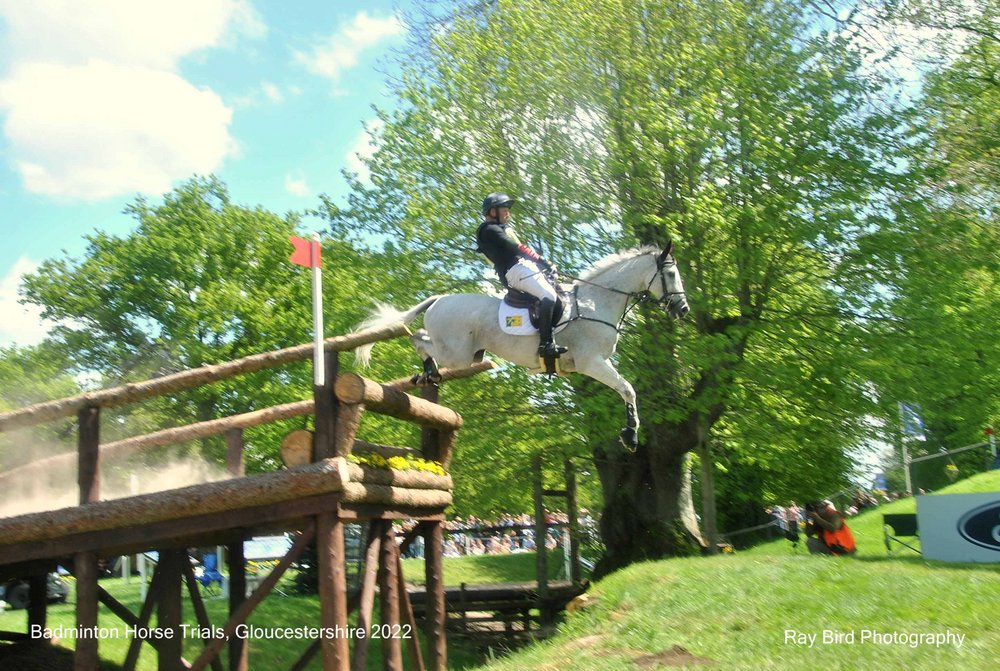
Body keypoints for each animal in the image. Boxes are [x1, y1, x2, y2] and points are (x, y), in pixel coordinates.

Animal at [352, 244, 688, 448]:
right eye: (671, 274)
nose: (682, 309)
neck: (596, 302)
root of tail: (439, 300)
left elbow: (625, 389)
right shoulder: (592, 362)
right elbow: (628, 389)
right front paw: (630, 435)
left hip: (468, 354)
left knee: (420, 337)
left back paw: (427, 373)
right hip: (458, 353)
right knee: (418, 338)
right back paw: (427, 371)